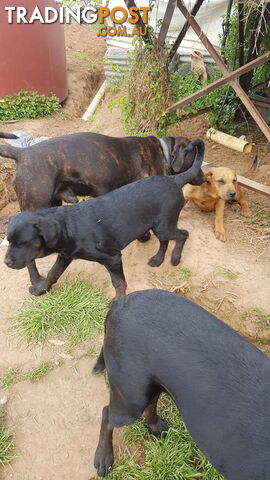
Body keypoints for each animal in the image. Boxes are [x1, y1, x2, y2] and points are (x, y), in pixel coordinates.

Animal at [4, 137, 204, 298]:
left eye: (22, 243)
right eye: (10, 241)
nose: (6, 262)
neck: (68, 225)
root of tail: (174, 180)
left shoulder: (112, 258)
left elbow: (119, 283)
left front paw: (118, 303)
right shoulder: (64, 256)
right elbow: (53, 273)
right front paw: (41, 289)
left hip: (163, 226)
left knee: (182, 234)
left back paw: (175, 258)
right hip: (161, 225)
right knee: (168, 239)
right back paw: (158, 259)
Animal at [94, 288, 270, 480]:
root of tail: (120, 303)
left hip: (150, 384)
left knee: (151, 403)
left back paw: (154, 426)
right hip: (131, 398)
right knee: (107, 414)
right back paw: (104, 457)